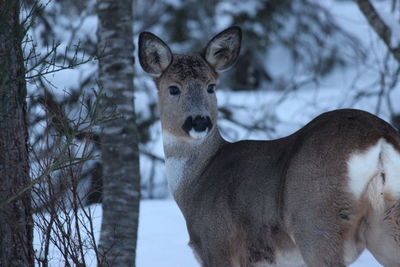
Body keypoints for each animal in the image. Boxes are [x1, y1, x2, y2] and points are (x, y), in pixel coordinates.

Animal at [138, 25, 400, 267]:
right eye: (173, 88)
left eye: (211, 86)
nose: (200, 121)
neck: (197, 180)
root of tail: (379, 137)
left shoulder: (217, 242)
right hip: (384, 223)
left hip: (316, 222)